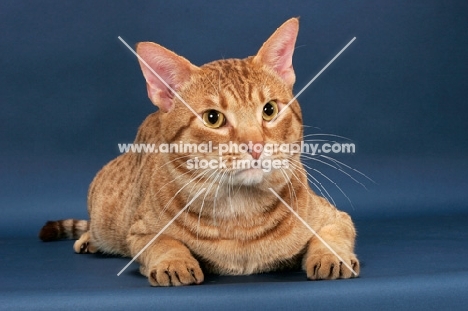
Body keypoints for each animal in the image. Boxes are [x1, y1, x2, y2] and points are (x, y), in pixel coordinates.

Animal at [40, 17, 360, 288]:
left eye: (269, 110)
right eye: (213, 118)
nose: (255, 146)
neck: (241, 216)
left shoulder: (337, 218)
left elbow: (330, 235)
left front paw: (330, 255)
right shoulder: (140, 233)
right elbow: (165, 242)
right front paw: (174, 261)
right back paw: (89, 239)